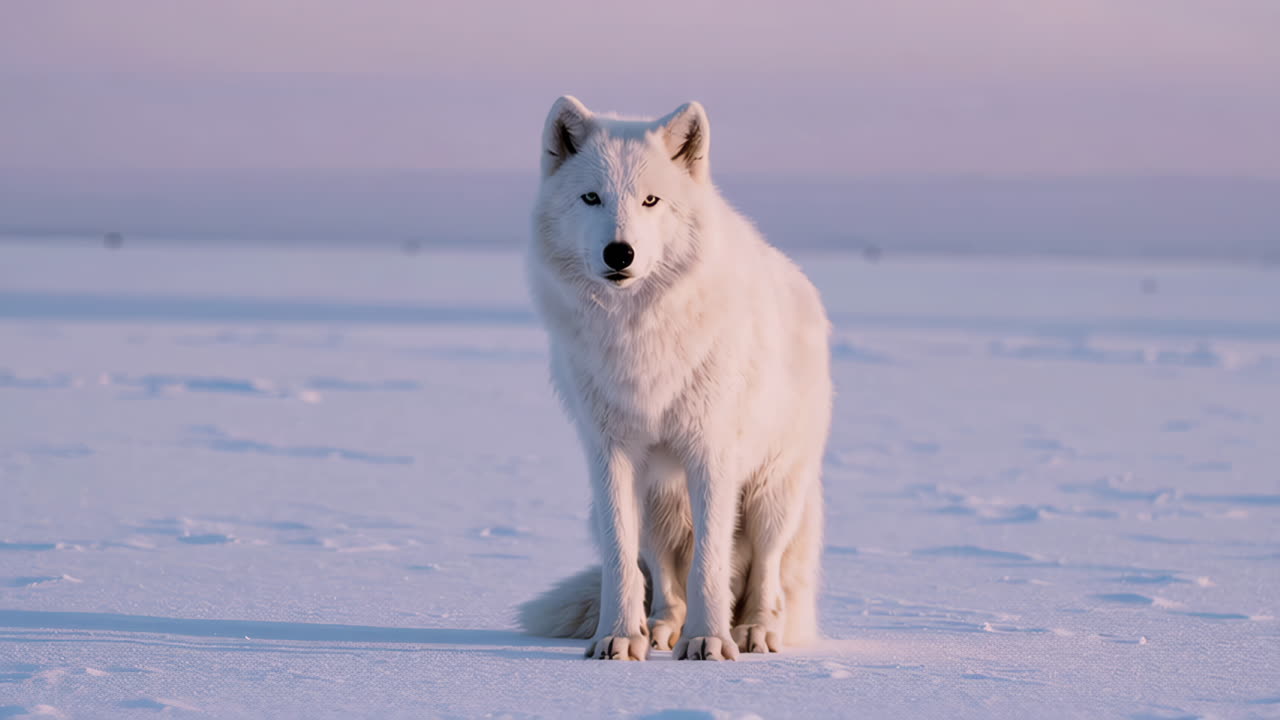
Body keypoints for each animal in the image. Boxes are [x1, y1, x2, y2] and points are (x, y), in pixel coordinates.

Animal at [518, 96, 833, 661]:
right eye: (591, 198)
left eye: (651, 201)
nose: (619, 253)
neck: (639, 330)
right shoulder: (611, 456)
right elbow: (621, 560)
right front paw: (619, 636)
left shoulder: (711, 454)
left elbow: (711, 559)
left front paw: (710, 640)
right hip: (655, 506)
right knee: (664, 580)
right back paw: (660, 628)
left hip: (773, 495)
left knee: (766, 573)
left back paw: (753, 631)